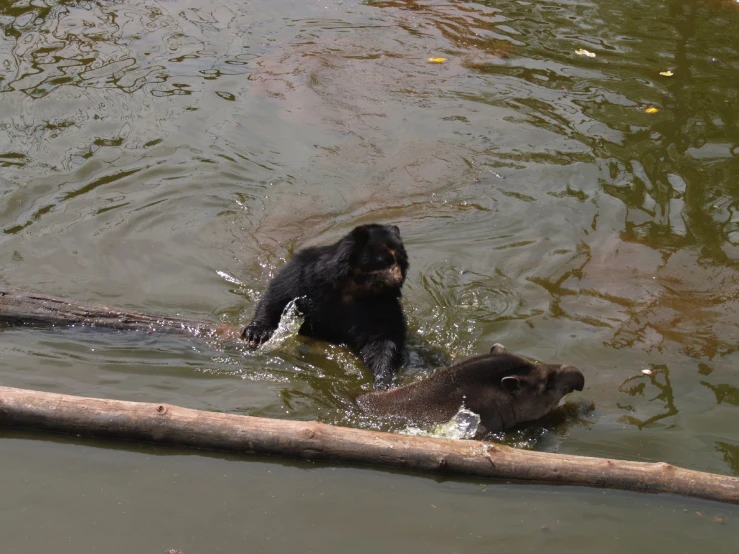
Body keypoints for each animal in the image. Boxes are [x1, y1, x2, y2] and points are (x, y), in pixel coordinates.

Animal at [244, 221, 410, 388]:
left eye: (401, 261)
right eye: (384, 261)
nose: (398, 279)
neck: (354, 285)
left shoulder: (380, 303)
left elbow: (381, 335)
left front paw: (384, 378)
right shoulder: (308, 276)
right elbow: (279, 295)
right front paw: (255, 334)